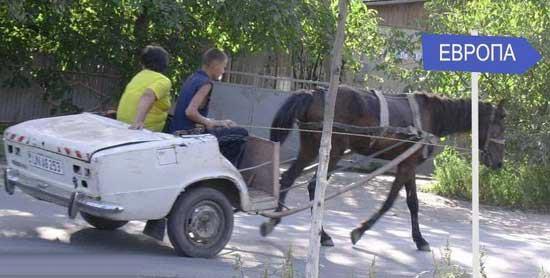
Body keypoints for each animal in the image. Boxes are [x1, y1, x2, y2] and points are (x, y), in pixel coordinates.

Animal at [260, 83, 506, 251]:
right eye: (499, 127)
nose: (498, 163)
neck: (431, 115)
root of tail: (314, 93)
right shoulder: (406, 166)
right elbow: (390, 202)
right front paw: (359, 231)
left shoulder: (409, 165)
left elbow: (413, 203)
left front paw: (419, 239)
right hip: (333, 152)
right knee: (313, 187)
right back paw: (322, 235)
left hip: (310, 148)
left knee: (288, 178)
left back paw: (274, 220)